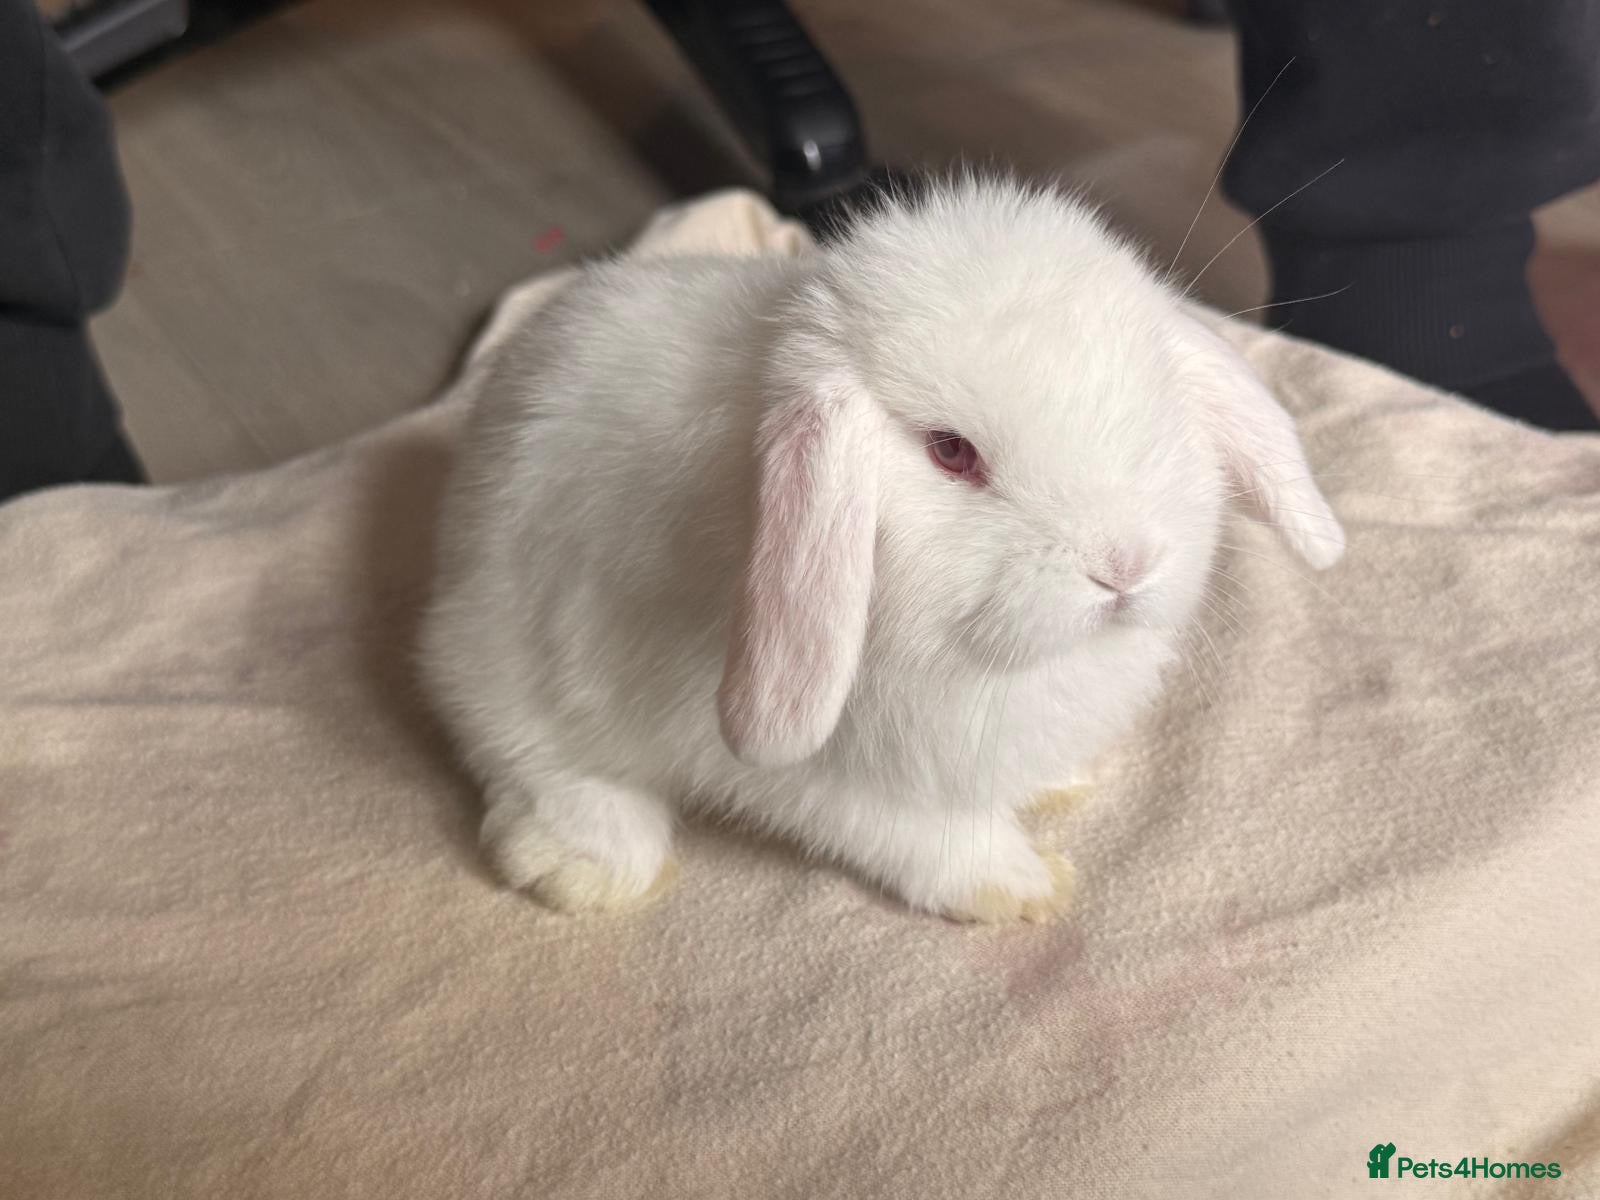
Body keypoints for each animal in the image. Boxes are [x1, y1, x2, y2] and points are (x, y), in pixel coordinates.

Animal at [418, 176, 1345, 923]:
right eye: (951, 451)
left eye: (1153, 405)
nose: (1124, 565)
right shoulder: (820, 773)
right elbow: (919, 831)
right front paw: (1021, 887)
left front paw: (1054, 790)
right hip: (512, 666)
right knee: (522, 757)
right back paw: (590, 865)